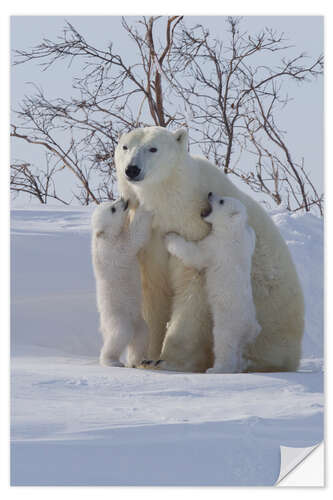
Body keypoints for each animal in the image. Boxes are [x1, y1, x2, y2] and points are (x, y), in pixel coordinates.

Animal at [91, 199, 152, 368]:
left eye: (110, 202)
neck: (103, 237)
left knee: (142, 336)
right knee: (120, 334)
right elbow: (131, 240)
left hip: (137, 319)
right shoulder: (112, 248)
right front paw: (144, 207)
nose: (124, 200)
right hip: (117, 315)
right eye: (113, 209)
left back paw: (139, 360)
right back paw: (112, 361)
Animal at [165, 193, 260, 374]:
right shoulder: (247, 239)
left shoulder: (216, 247)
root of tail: (250, 327)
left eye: (221, 201)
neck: (233, 231)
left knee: (224, 342)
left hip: (228, 321)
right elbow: (252, 234)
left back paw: (217, 369)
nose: (210, 193)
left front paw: (170, 236)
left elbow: (196, 254)